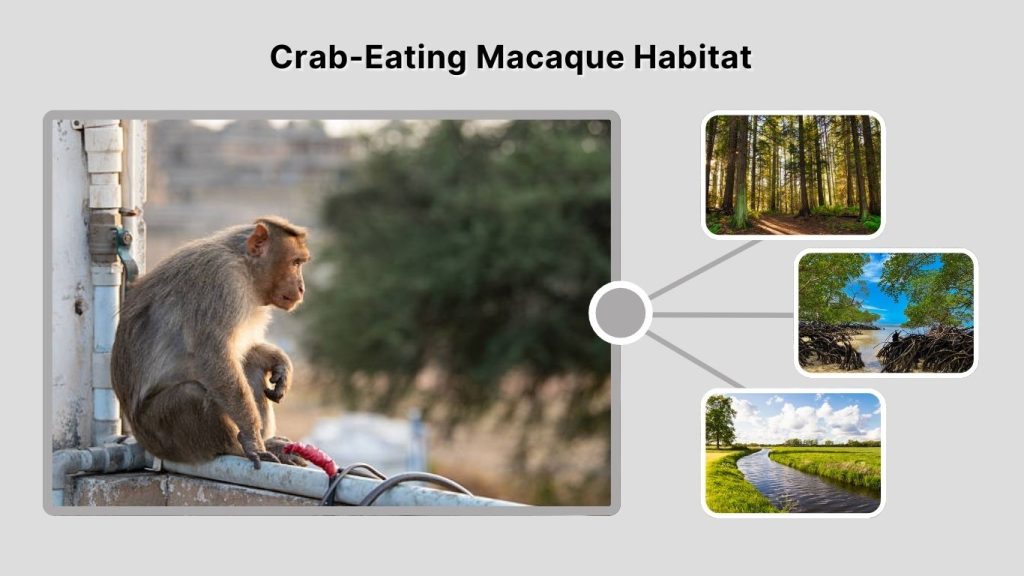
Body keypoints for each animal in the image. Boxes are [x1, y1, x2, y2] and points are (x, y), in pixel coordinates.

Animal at [111, 216, 311, 469]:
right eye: (295, 263)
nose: (302, 288)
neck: (245, 267)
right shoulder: (223, 285)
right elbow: (214, 359)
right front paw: (252, 440)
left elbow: (245, 350)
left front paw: (280, 363)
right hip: (159, 433)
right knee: (191, 394)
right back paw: (237, 448)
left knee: (250, 365)